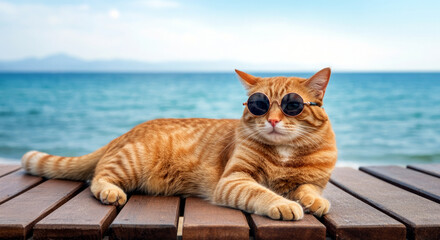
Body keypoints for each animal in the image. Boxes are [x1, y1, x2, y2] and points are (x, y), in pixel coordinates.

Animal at [20, 67, 336, 219]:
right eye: (260, 105)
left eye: (292, 106)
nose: (271, 120)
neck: (286, 152)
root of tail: (125, 132)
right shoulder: (234, 180)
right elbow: (262, 193)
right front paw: (284, 204)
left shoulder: (313, 181)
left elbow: (308, 189)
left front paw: (314, 201)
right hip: (132, 162)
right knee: (97, 179)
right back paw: (110, 192)